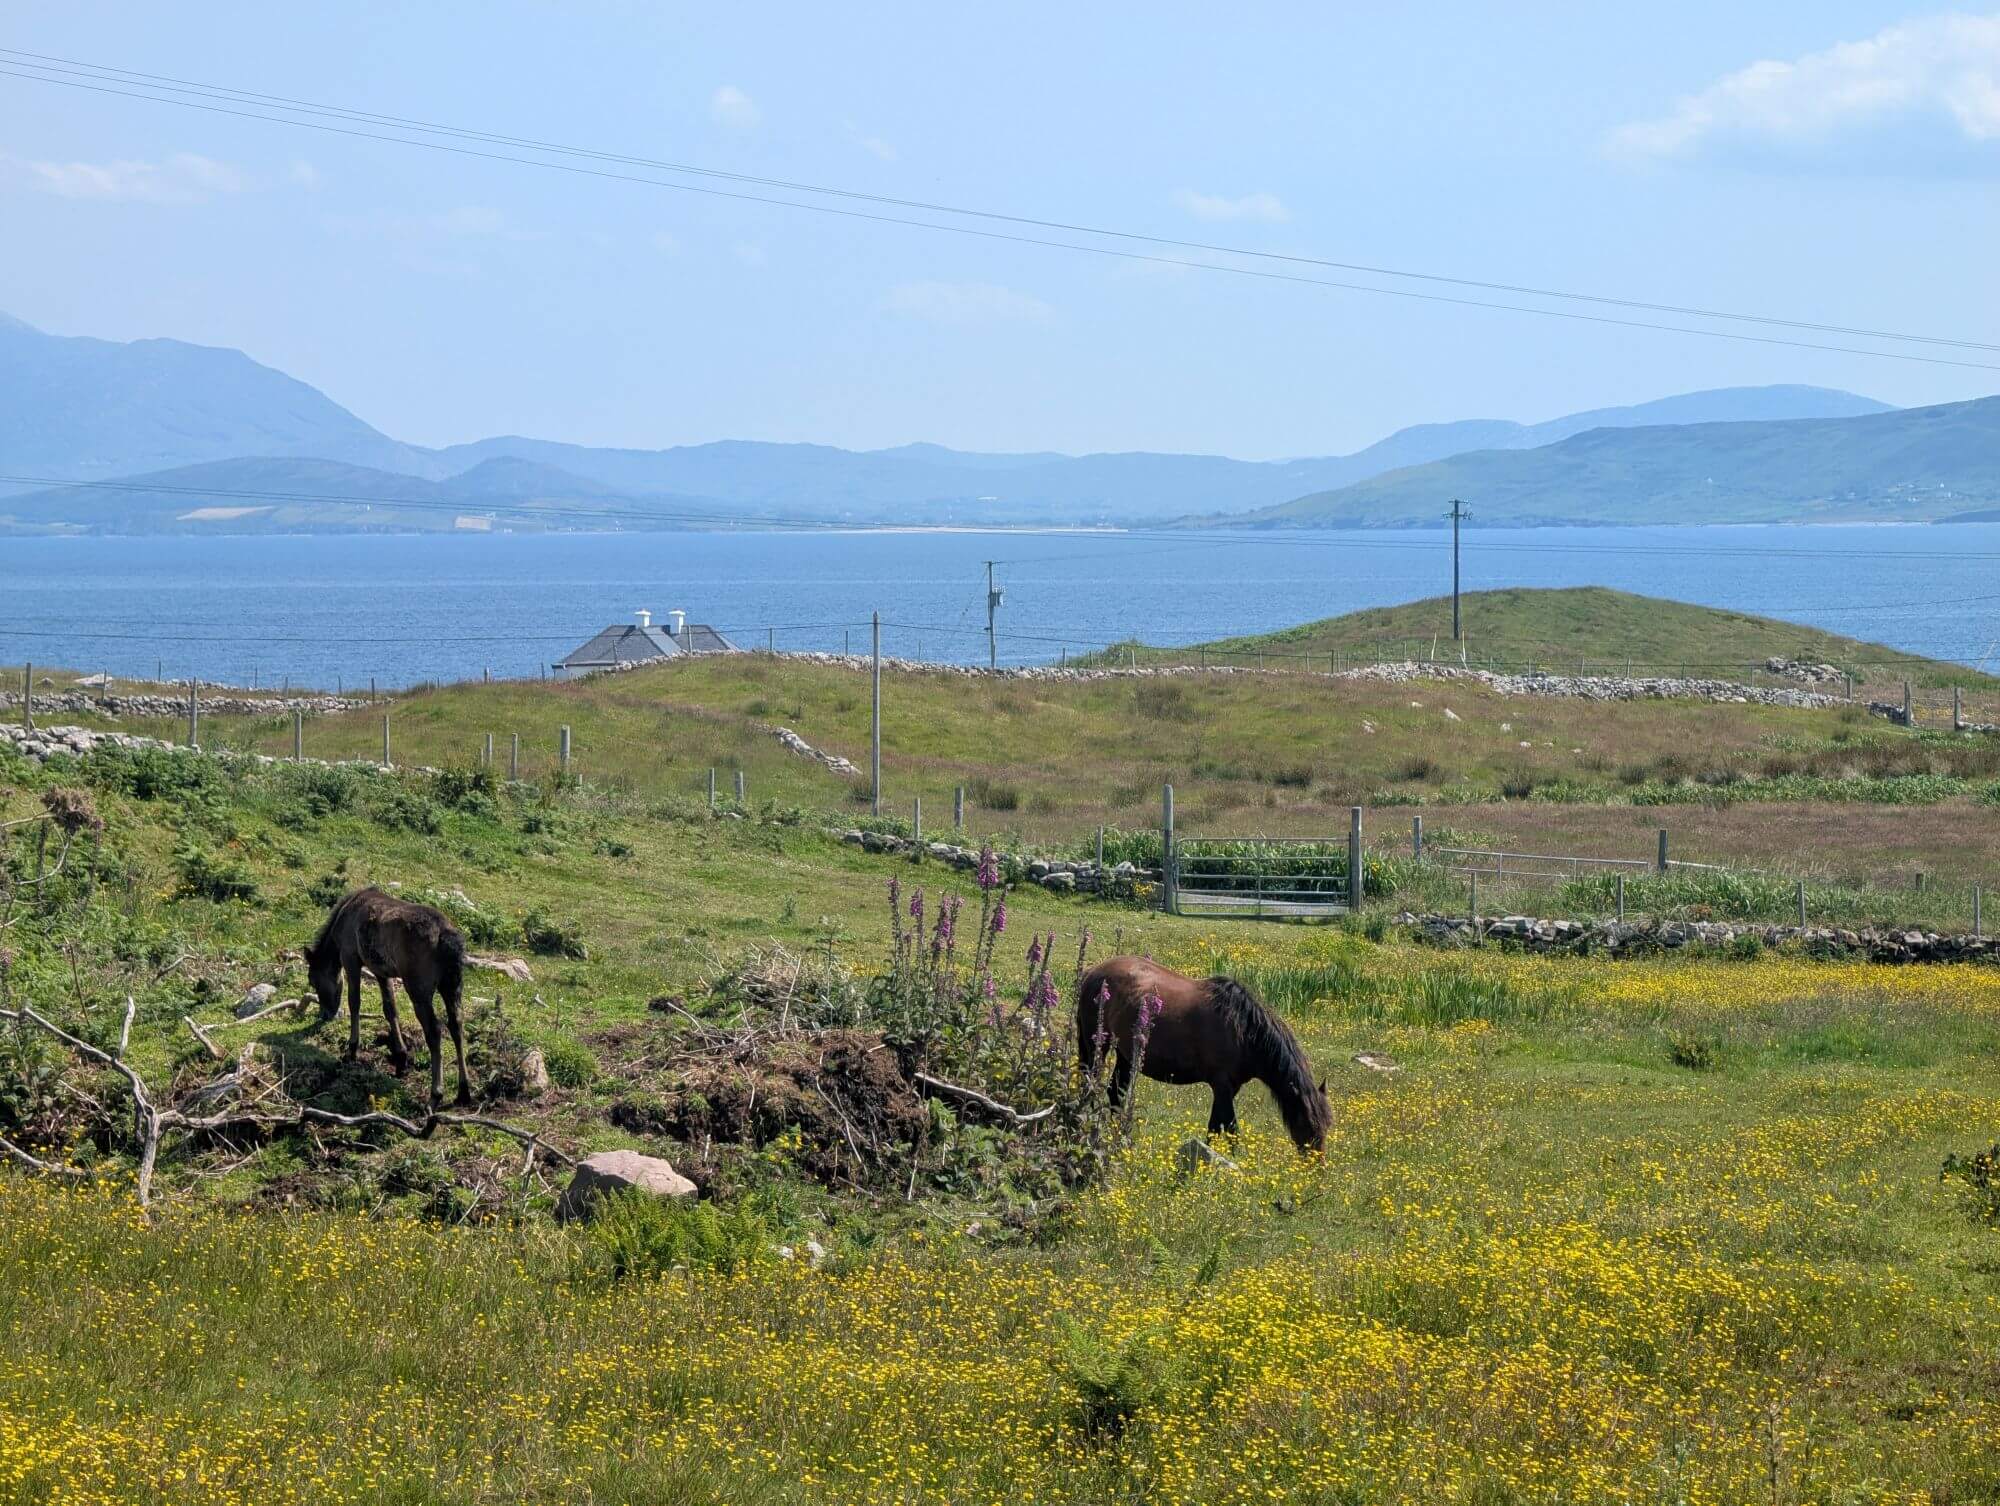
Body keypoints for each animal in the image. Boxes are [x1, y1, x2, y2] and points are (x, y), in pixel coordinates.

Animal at [305, 886, 475, 1108]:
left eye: (313, 981)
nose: (325, 1014)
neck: (344, 915)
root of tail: (445, 937)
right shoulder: (381, 972)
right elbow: (390, 1009)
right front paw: (401, 1059)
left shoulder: (351, 958)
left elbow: (354, 1002)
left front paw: (352, 1049)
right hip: (452, 986)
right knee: (456, 1025)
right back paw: (464, 1091)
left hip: (419, 990)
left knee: (434, 1031)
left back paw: (435, 1094)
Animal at [1076, 955, 1330, 1152]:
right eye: (1308, 1126)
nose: (1316, 1168)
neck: (1243, 1029)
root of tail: (1092, 973)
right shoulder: (1222, 1085)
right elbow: (1230, 1129)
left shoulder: (1229, 1088)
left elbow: (1215, 1126)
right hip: (1097, 1046)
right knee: (1090, 1085)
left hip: (1125, 1055)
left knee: (1115, 1093)